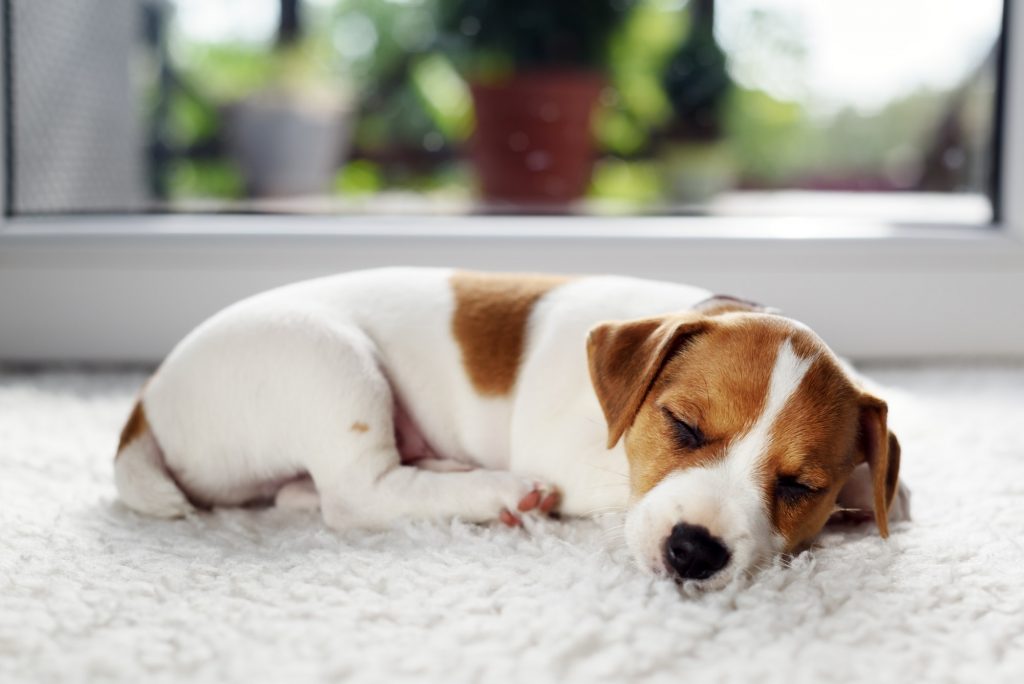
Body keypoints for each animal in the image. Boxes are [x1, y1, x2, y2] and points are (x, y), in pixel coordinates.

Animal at [116, 266, 909, 589]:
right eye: (682, 426)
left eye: (799, 485)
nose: (693, 552)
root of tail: (145, 405)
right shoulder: (576, 454)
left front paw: (874, 495)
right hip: (329, 361)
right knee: (355, 495)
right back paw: (495, 491)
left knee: (302, 493)